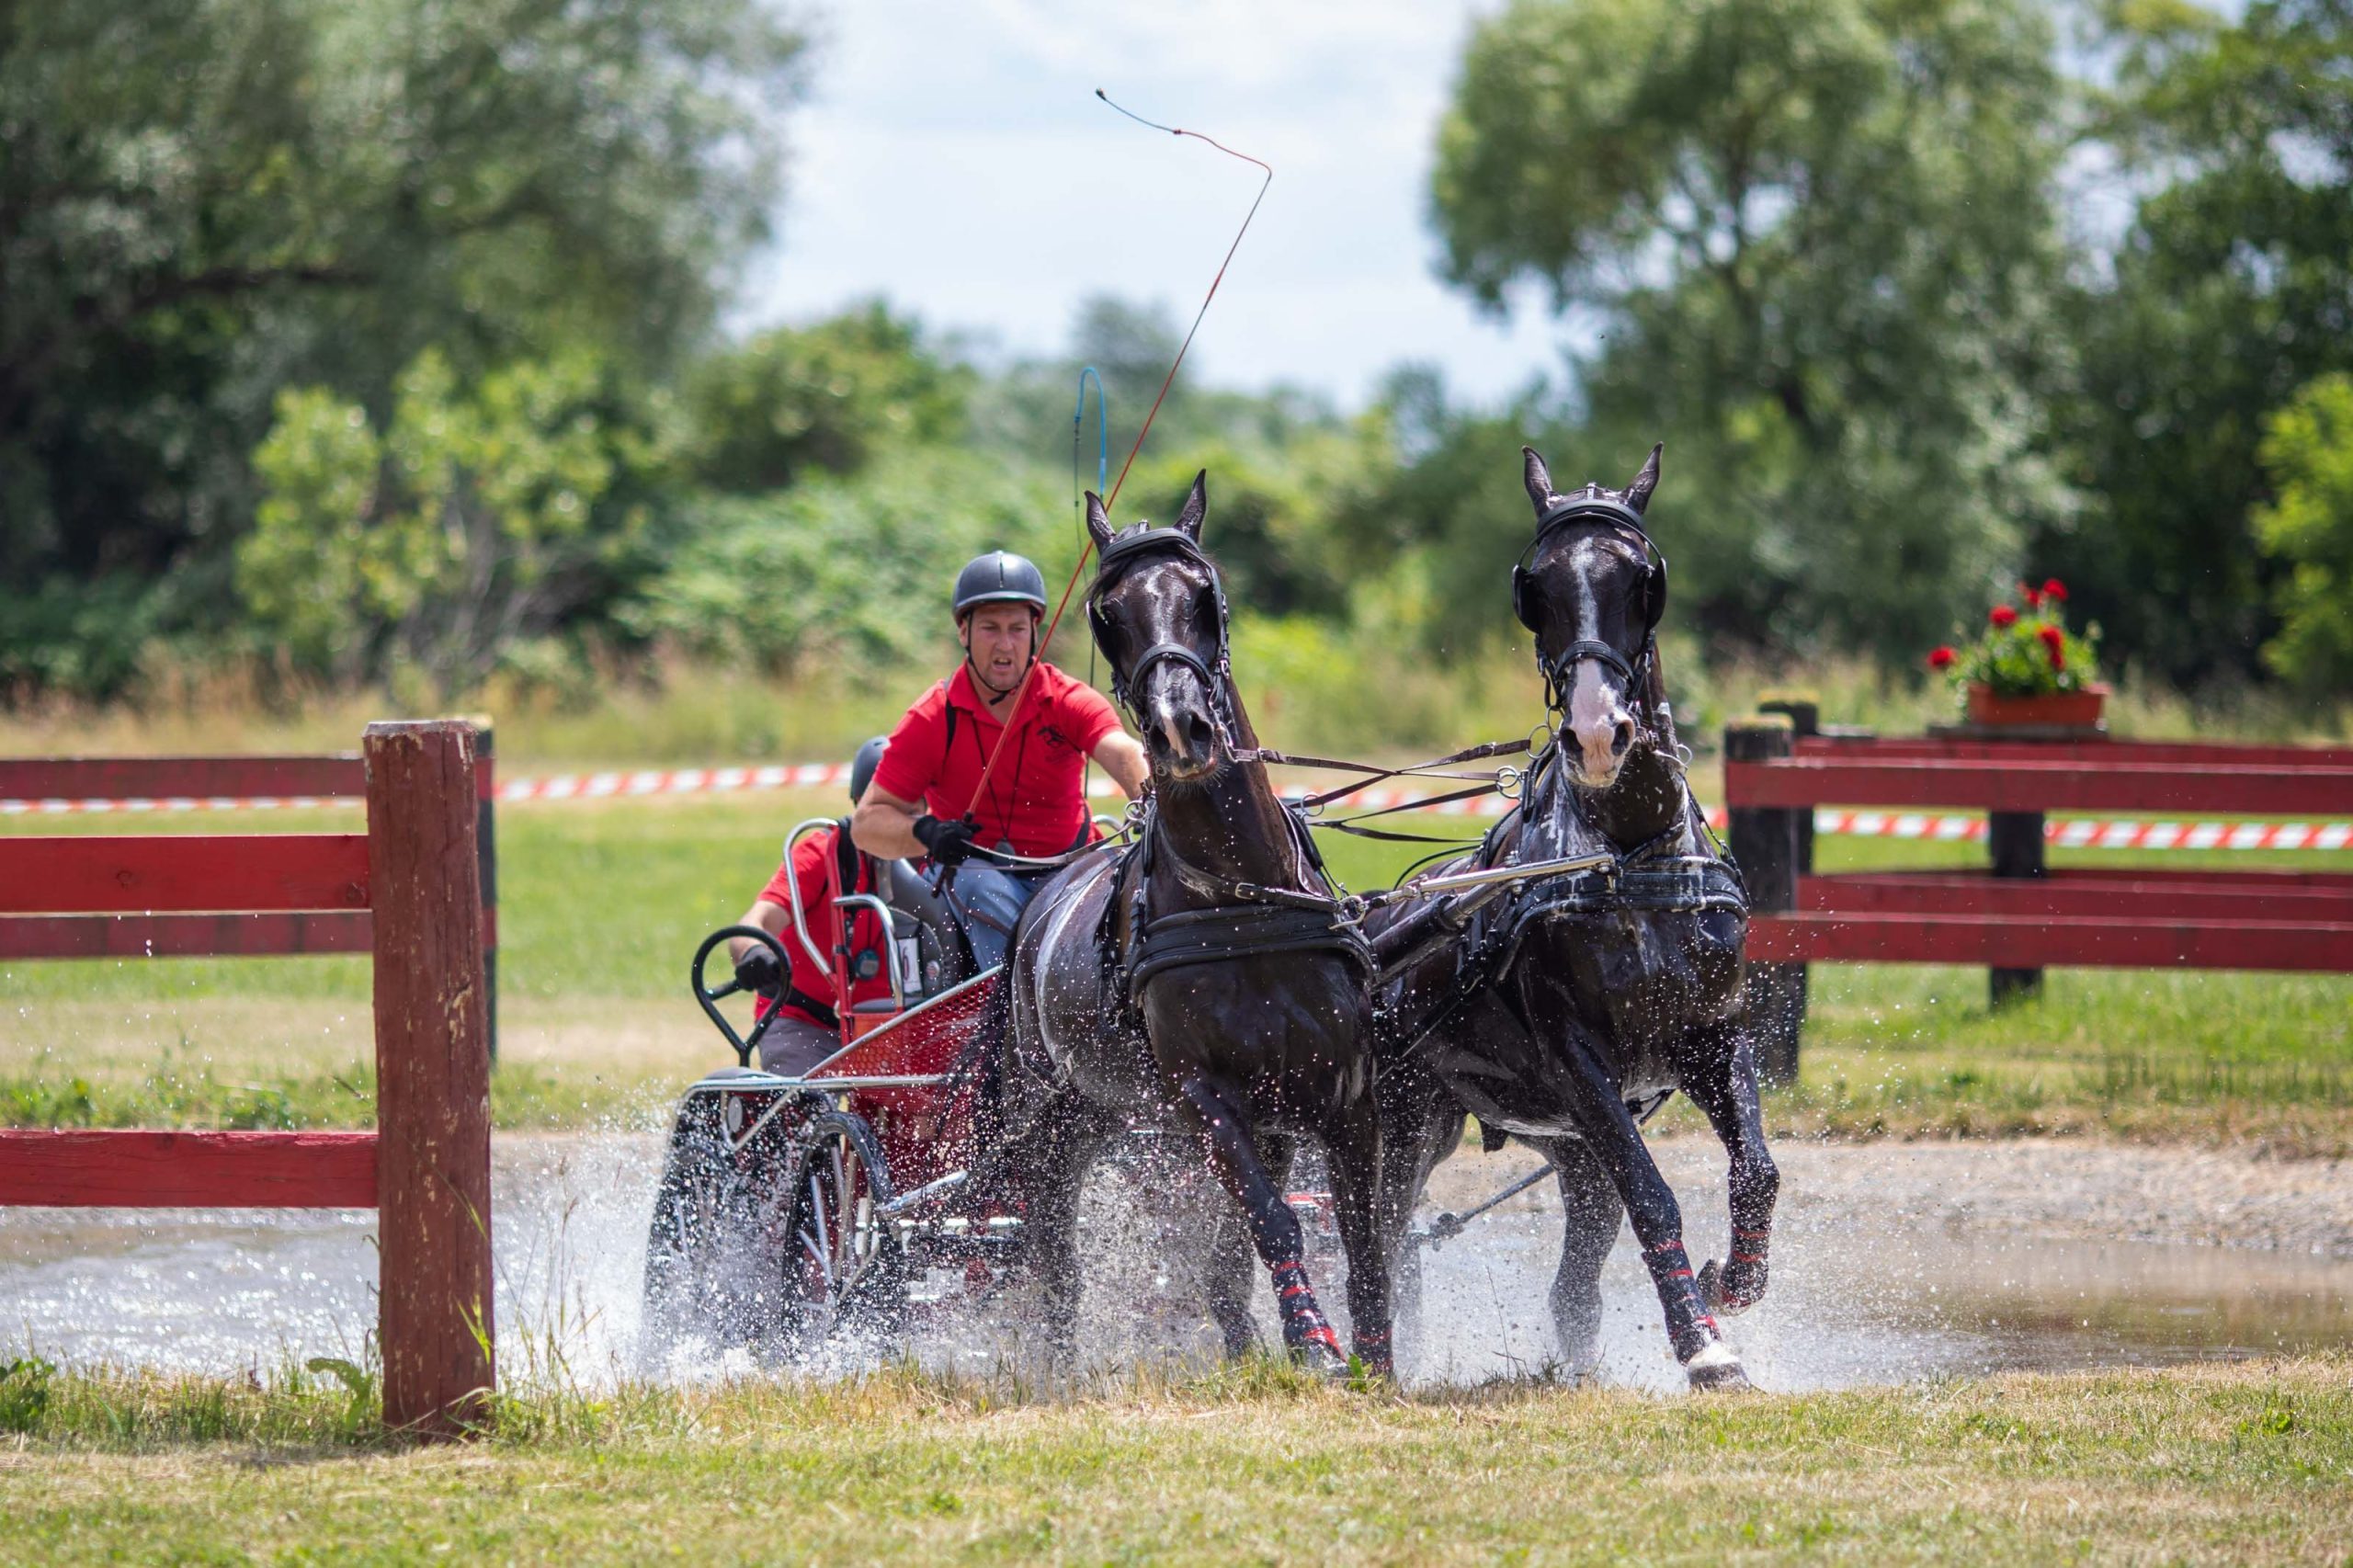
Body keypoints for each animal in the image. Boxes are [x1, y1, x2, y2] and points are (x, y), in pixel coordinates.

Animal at [993, 472, 1392, 1365]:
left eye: (1205, 595)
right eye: (1107, 613)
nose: (1181, 729)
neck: (1241, 905)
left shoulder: (1345, 1093)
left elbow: (1362, 1240)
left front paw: (1378, 1358)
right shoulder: (1204, 1098)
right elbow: (1273, 1222)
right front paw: (1314, 1342)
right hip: (1055, 1121)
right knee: (1054, 1254)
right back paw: (1057, 1365)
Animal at [1374, 445, 1769, 1384]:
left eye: (1641, 581)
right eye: (1538, 588)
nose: (1597, 734)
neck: (1625, 858)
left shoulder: (1712, 1033)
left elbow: (1757, 1172)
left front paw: (1732, 1284)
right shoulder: (1579, 1058)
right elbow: (1654, 1195)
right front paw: (1705, 1347)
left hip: (1565, 1143)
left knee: (1573, 1274)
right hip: (1407, 1125)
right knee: (1384, 1236)